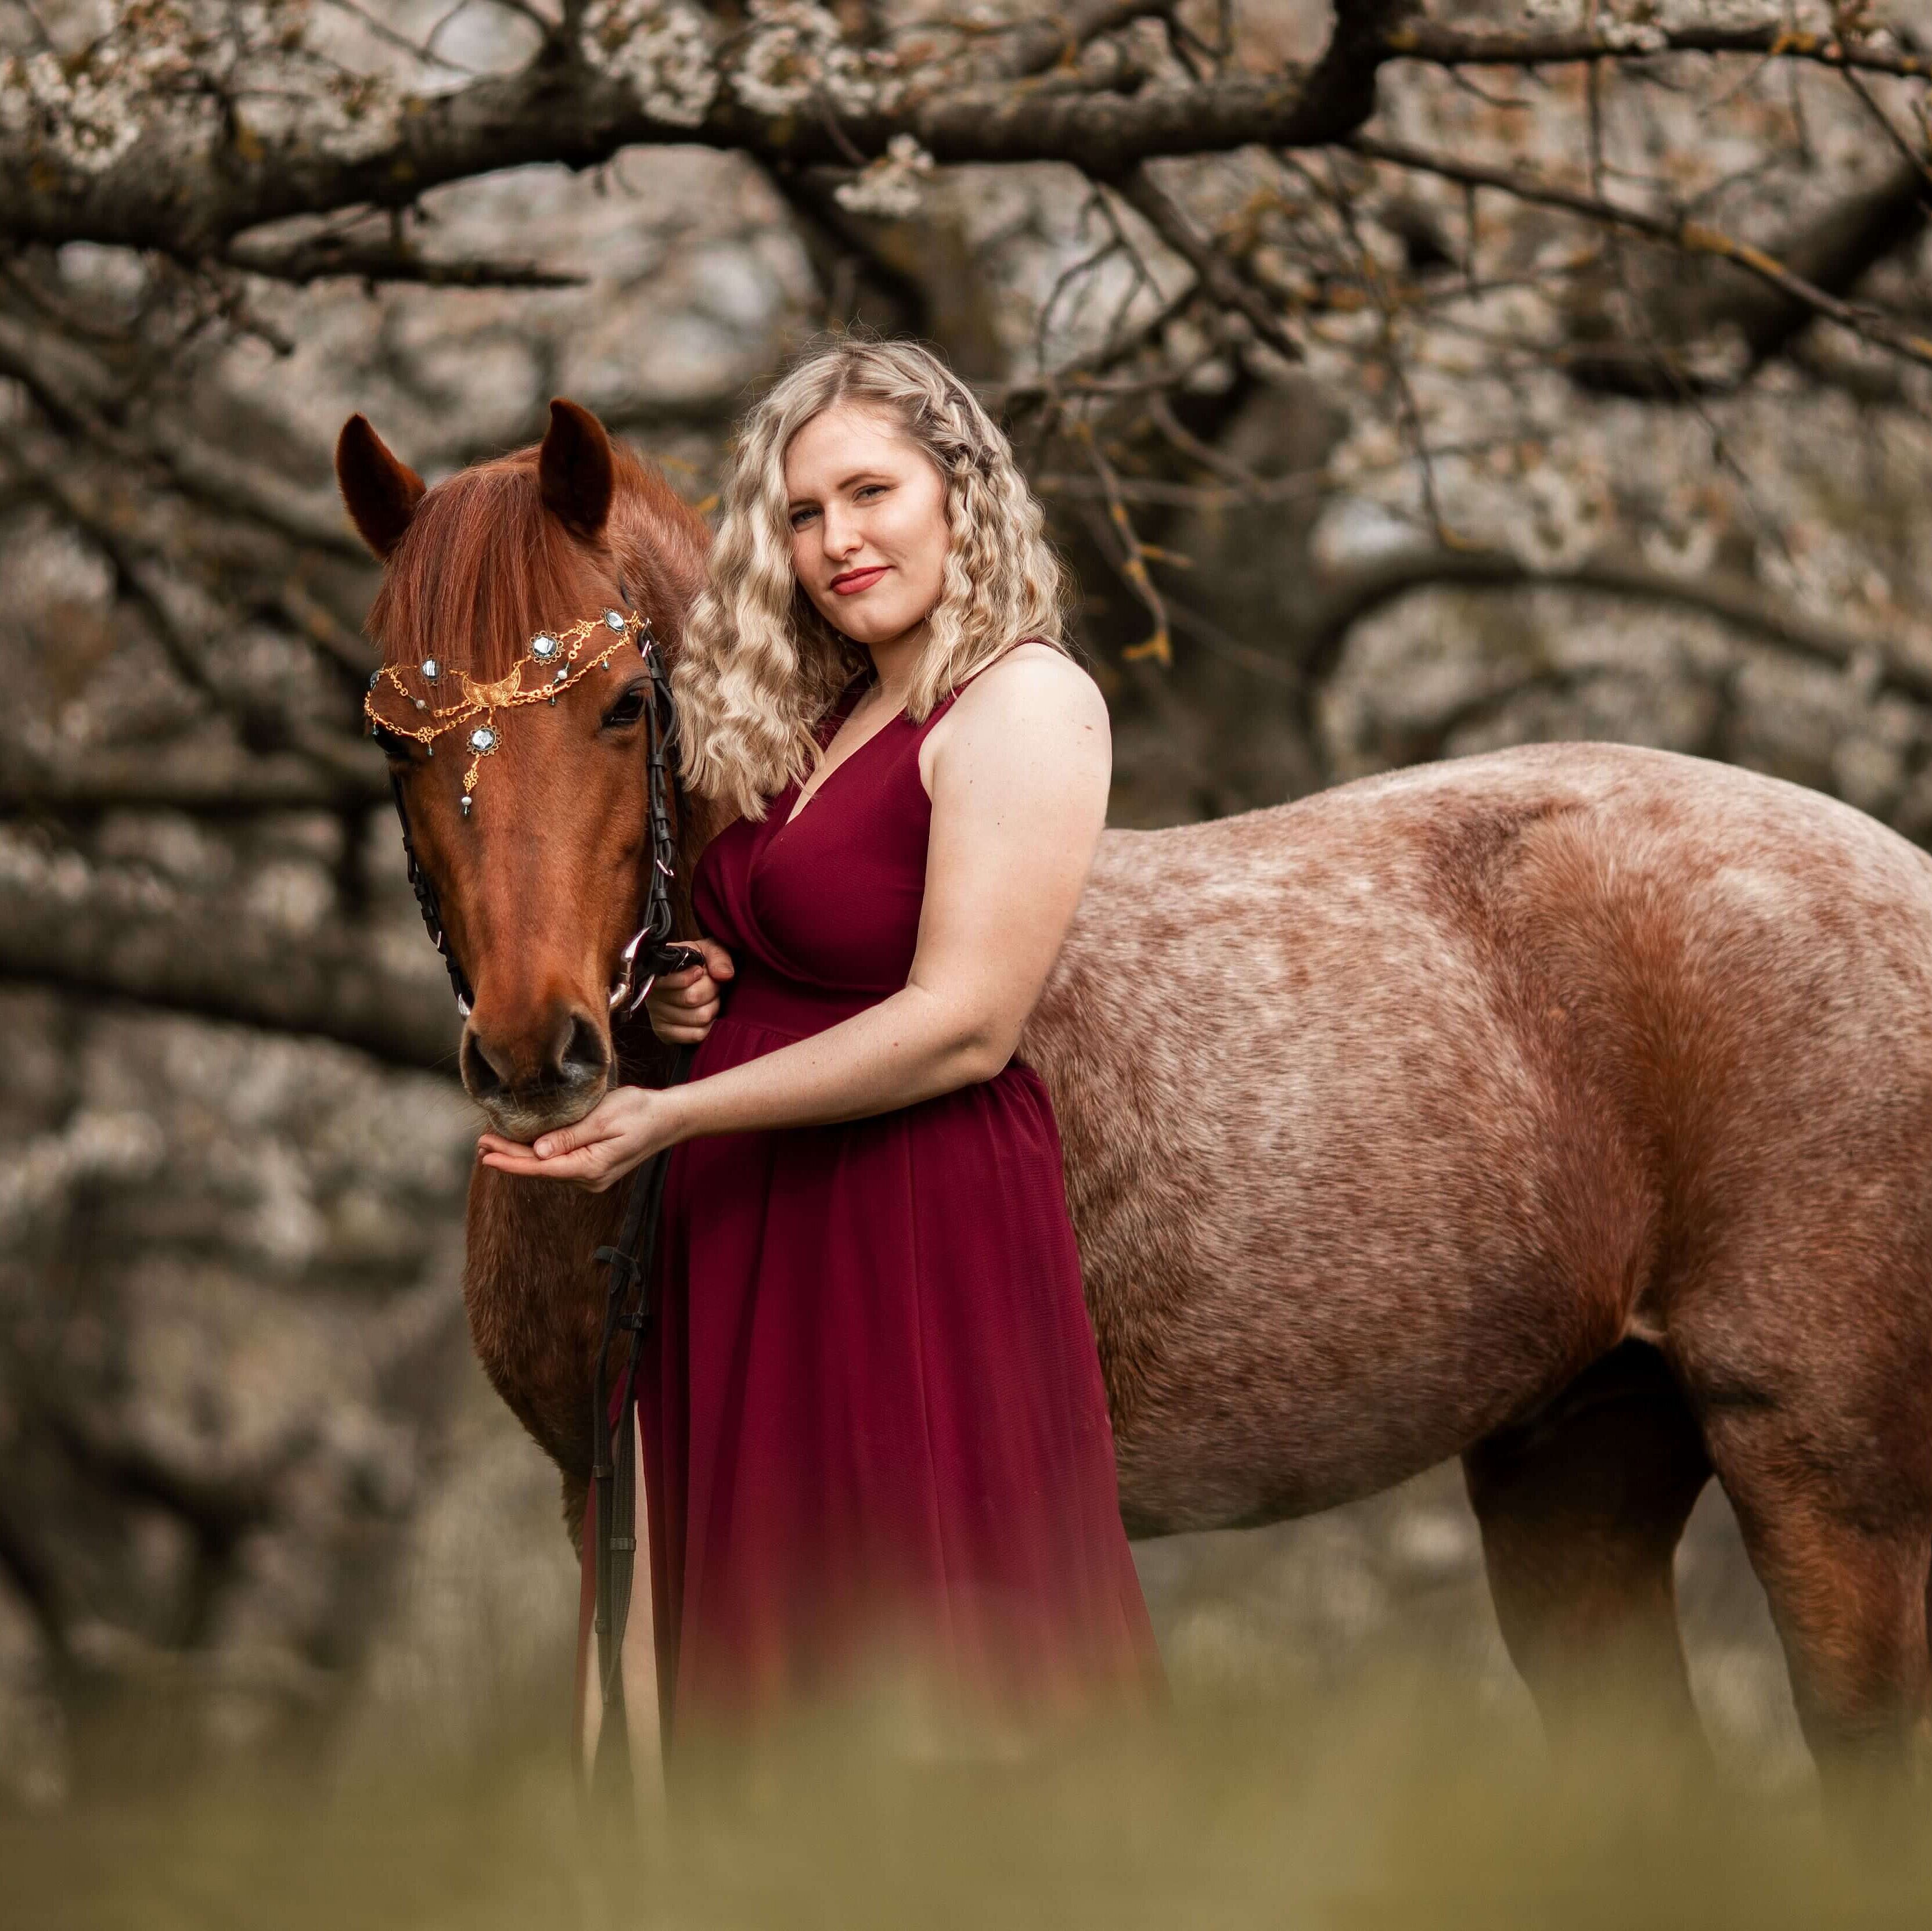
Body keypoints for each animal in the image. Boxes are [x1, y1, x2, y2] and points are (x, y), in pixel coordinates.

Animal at [340, 395, 1932, 1792]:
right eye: (394, 741)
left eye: (622, 706)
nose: (538, 1061)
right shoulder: (601, 1521)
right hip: (1579, 1469)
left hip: (1830, 1488)